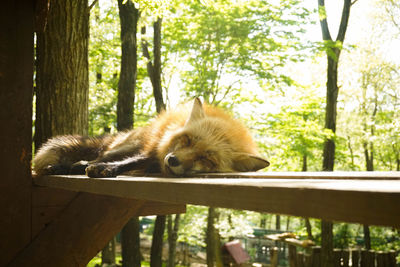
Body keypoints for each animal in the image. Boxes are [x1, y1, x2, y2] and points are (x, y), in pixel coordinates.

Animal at [33, 98, 268, 178]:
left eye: (207, 159)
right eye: (187, 140)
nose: (173, 160)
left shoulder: (156, 157)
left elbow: (137, 163)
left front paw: (108, 169)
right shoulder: (154, 148)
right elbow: (133, 160)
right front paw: (107, 168)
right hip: (129, 144)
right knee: (98, 156)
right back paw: (68, 166)